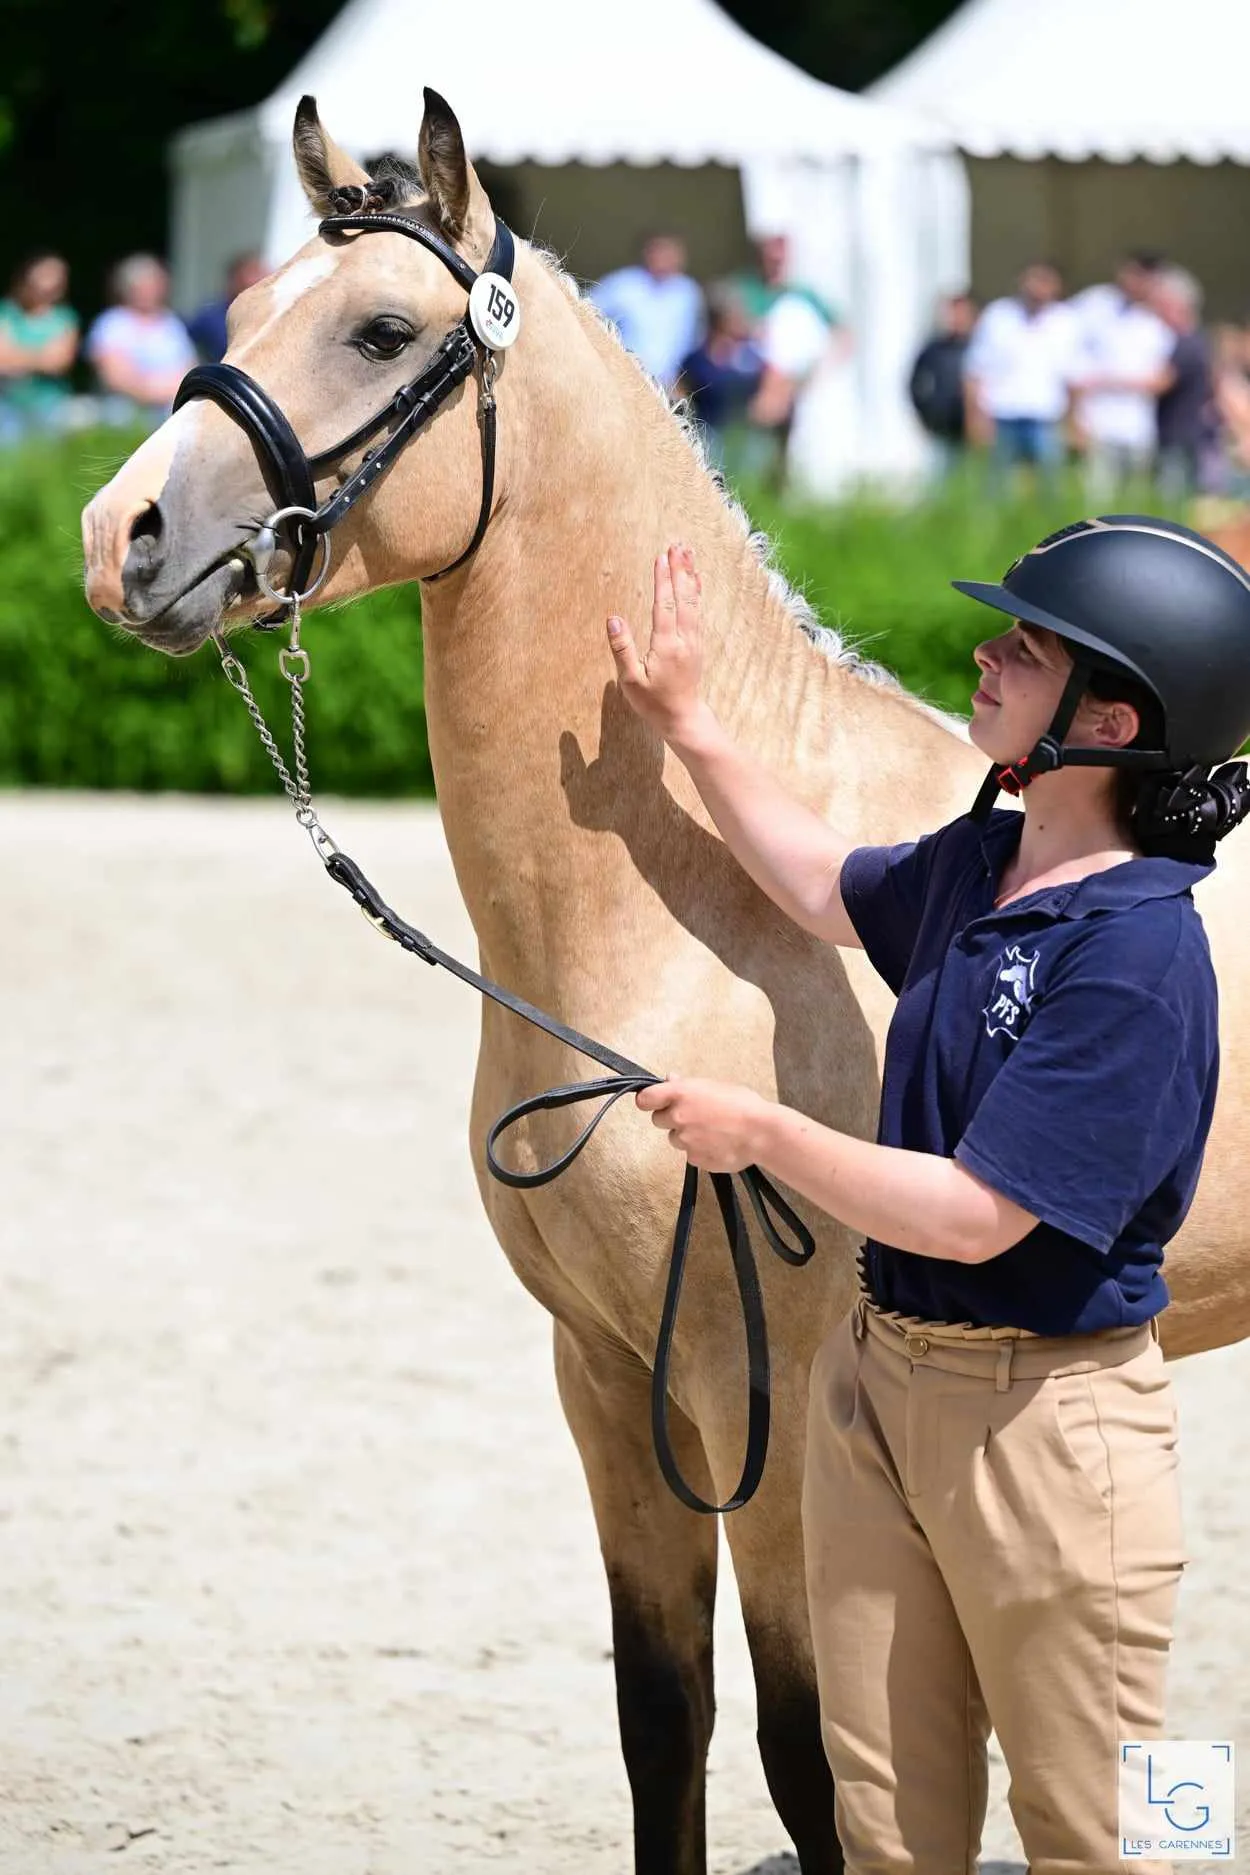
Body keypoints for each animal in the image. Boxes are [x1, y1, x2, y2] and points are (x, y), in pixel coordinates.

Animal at [81, 88, 1250, 1874]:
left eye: (380, 329)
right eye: (238, 305)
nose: (115, 538)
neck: (688, 914)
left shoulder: (757, 1408)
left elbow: (809, 1756)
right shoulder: (606, 1381)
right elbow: (661, 1717)